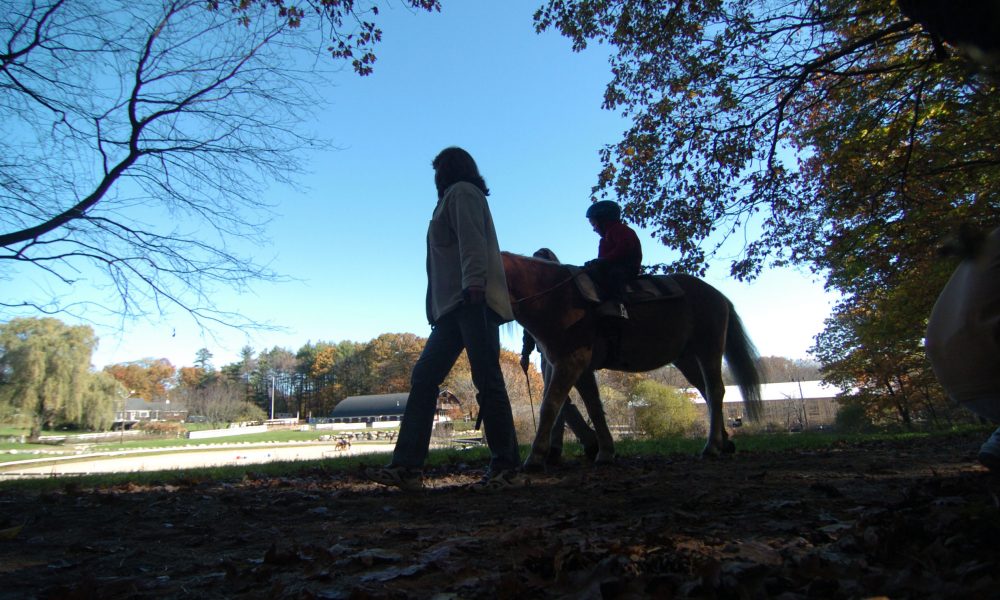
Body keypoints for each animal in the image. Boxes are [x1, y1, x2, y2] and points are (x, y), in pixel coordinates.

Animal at [500, 251, 764, 472]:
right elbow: (594, 408)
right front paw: (606, 452)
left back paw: (712, 446)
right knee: (708, 393)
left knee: (715, 390)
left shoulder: (569, 363)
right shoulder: (581, 370)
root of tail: (717, 295)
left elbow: (550, 406)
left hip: (709, 350)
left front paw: (535, 458)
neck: (554, 297)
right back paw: (723, 442)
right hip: (687, 359)